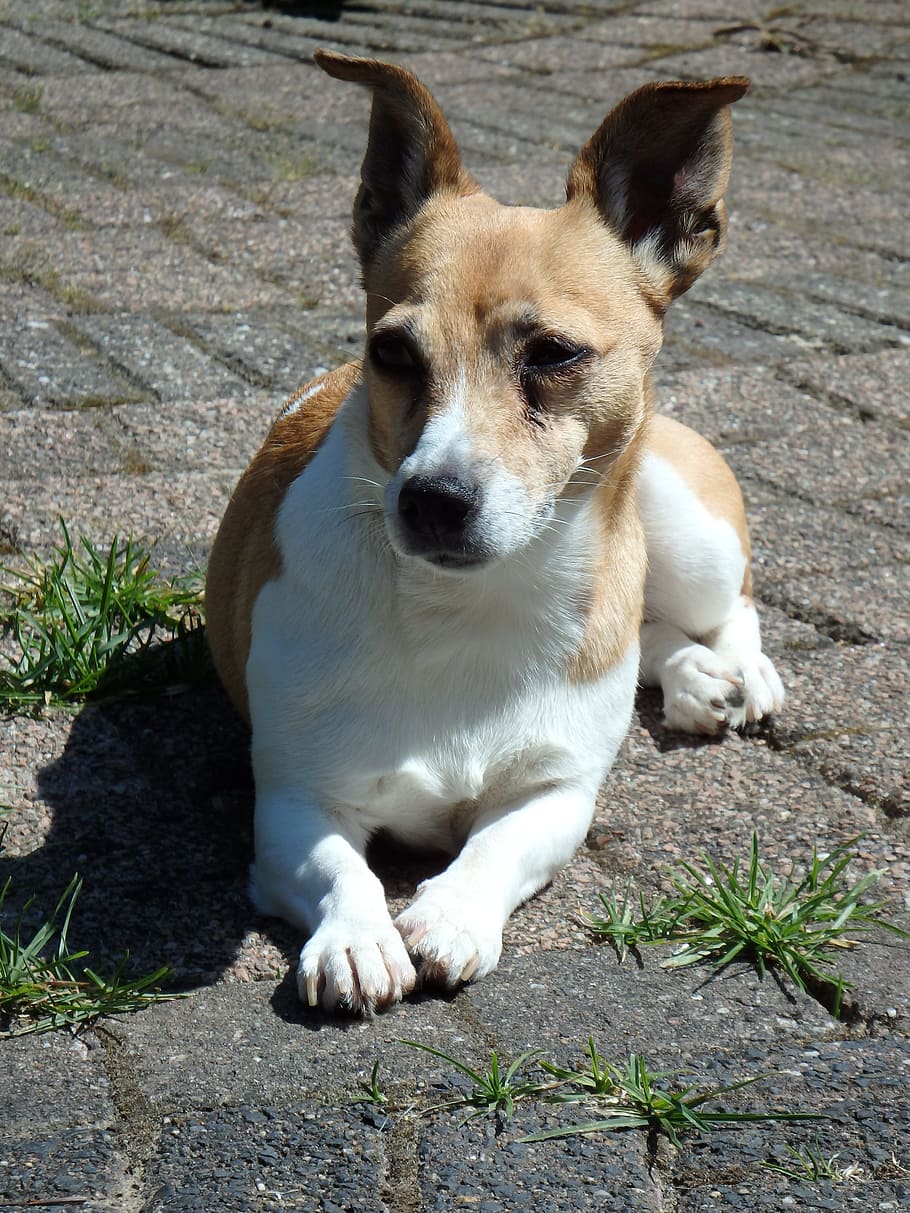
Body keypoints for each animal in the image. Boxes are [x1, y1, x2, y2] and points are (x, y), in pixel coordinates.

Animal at [205, 49, 786, 1014]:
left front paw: (450, 913)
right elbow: (340, 865)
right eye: (390, 352)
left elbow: (494, 847)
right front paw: (358, 936)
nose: (432, 498)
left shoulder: (557, 797)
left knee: (726, 603)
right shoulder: (291, 800)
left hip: (688, 527)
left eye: (552, 353)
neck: (468, 605)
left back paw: (742, 671)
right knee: (652, 627)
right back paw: (692, 677)